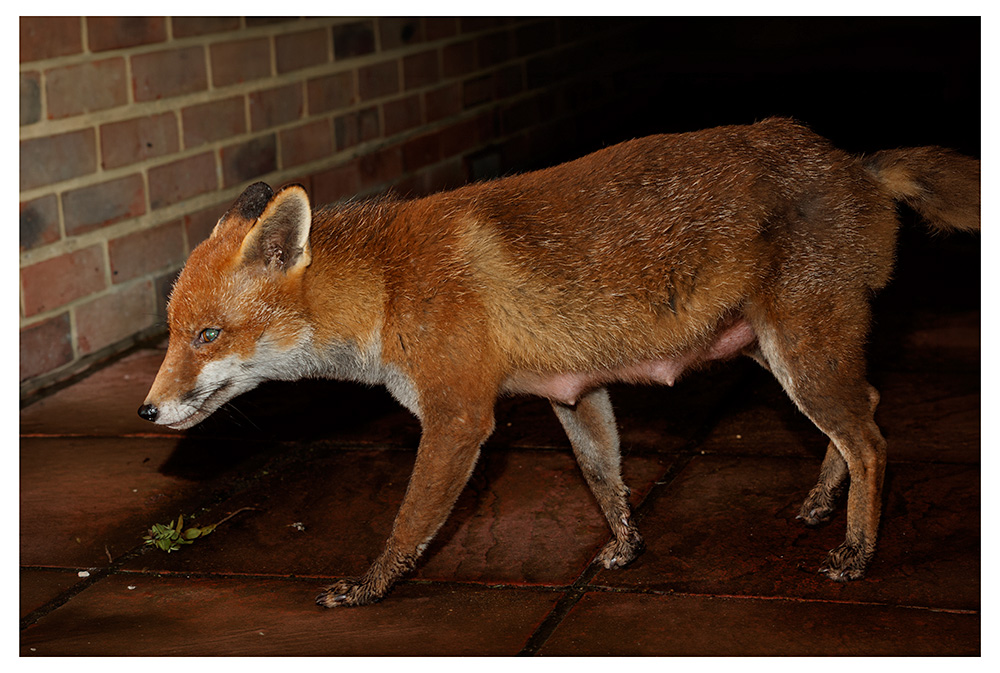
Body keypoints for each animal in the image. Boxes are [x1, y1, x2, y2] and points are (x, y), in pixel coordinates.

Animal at [139, 118, 980, 608]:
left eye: (208, 335)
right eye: (172, 333)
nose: (147, 409)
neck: (388, 287)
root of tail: (858, 163)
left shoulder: (459, 418)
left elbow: (410, 523)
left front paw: (370, 586)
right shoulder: (572, 393)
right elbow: (605, 480)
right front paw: (627, 548)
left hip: (801, 353)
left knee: (871, 438)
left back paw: (857, 550)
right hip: (782, 355)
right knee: (865, 412)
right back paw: (820, 503)